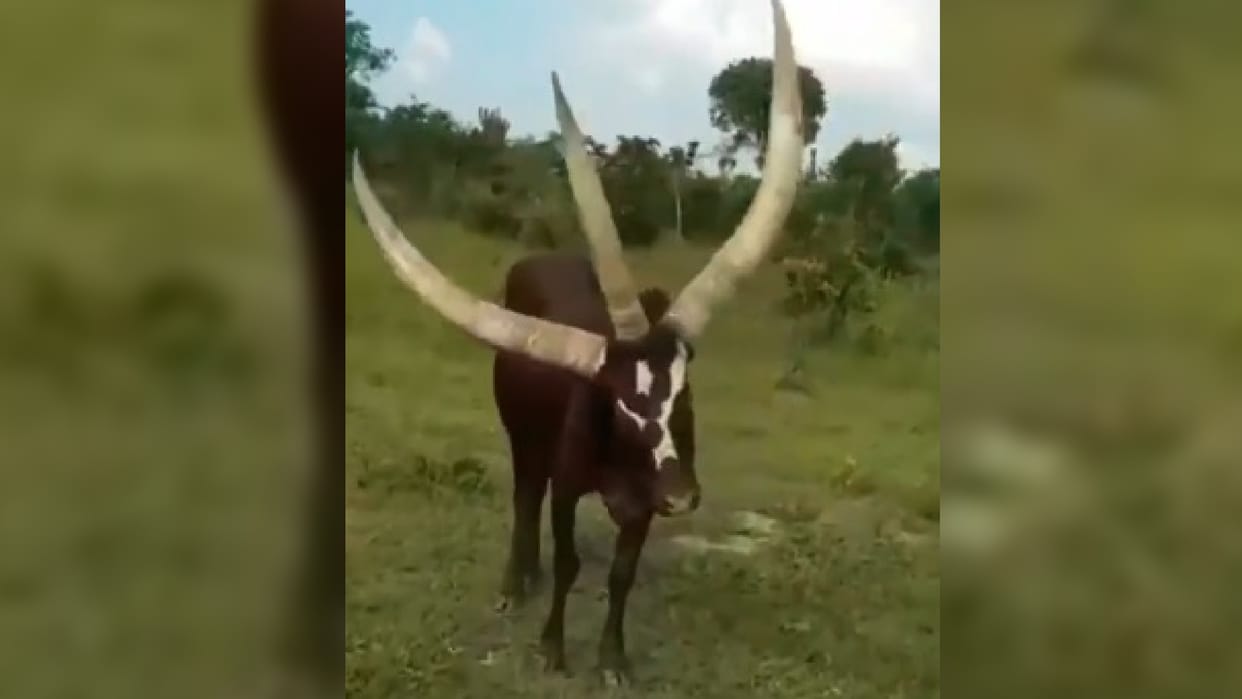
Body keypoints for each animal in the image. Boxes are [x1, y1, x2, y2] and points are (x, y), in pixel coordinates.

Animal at [352, 0, 804, 685]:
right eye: (619, 400)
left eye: (684, 390)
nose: (683, 496)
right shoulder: (568, 486)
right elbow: (568, 561)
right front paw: (552, 647)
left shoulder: (641, 506)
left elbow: (620, 575)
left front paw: (612, 658)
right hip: (521, 436)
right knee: (524, 497)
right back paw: (518, 579)